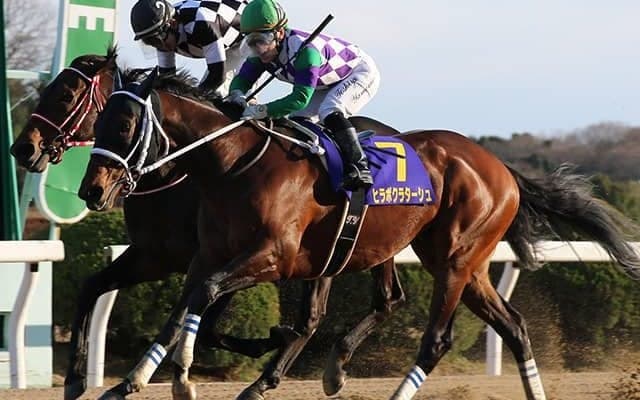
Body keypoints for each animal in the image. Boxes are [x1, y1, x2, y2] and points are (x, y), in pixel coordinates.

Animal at [10, 50, 406, 400]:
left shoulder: (218, 257)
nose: (23, 149)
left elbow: (187, 319)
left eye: (65, 95)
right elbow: (93, 287)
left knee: (336, 311)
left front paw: (133, 382)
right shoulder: (154, 256)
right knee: (373, 302)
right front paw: (75, 379)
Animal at [79, 66, 640, 400]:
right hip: (459, 263)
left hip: (454, 258)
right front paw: (137, 378)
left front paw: (180, 378)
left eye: (124, 125)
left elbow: (206, 296)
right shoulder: (209, 253)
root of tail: (501, 167)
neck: (233, 164)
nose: (92, 190)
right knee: (514, 327)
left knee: (436, 340)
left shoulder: (276, 256)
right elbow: (191, 305)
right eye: (97, 121)